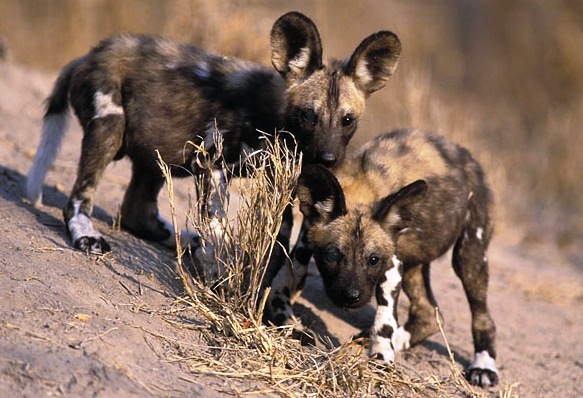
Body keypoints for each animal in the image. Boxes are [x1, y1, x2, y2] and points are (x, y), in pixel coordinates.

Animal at [25, 12, 404, 255]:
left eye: (348, 120)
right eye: (308, 115)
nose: (327, 159)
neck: (276, 119)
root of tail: (92, 52)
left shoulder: (278, 187)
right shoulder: (212, 166)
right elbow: (220, 229)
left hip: (157, 154)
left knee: (135, 210)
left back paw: (178, 240)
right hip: (110, 127)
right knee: (79, 198)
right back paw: (86, 235)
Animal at [290, 129, 500, 388]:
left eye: (373, 260)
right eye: (332, 255)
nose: (351, 296)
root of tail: (466, 155)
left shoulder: (392, 262)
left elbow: (385, 316)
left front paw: (381, 355)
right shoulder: (305, 235)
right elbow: (293, 270)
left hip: (469, 256)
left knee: (483, 317)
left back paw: (483, 365)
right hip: (414, 266)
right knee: (429, 313)